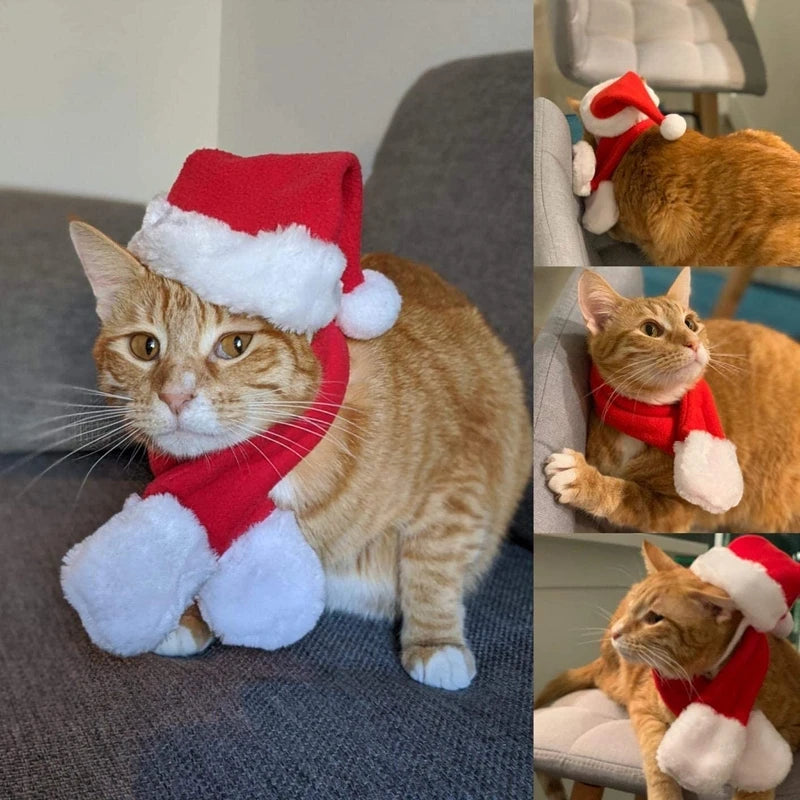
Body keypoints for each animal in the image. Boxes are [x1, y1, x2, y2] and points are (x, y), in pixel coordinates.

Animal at [69, 219, 532, 688]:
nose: (175, 396)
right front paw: (189, 617)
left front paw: (436, 643)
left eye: (235, 344)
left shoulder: (457, 482)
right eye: (145, 347)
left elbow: (432, 566)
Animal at [548, 266, 800, 536]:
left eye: (690, 323)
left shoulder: (677, 510)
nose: (694, 343)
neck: (643, 416)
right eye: (650, 329)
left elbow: (631, 495)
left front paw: (584, 478)